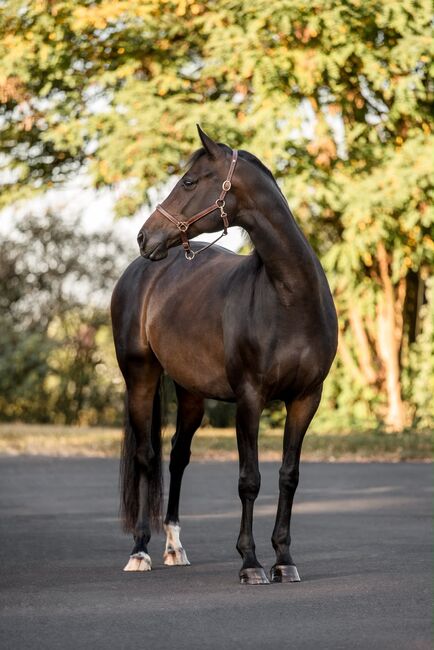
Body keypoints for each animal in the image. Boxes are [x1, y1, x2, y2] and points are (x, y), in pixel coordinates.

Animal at [110, 126, 338, 585]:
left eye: (189, 182)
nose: (144, 236)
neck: (289, 298)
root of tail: (139, 270)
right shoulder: (249, 398)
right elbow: (249, 479)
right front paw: (250, 563)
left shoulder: (306, 399)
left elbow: (289, 476)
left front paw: (284, 559)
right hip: (139, 378)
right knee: (146, 457)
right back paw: (140, 551)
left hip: (191, 393)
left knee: (178, 456)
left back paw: (174, 547)